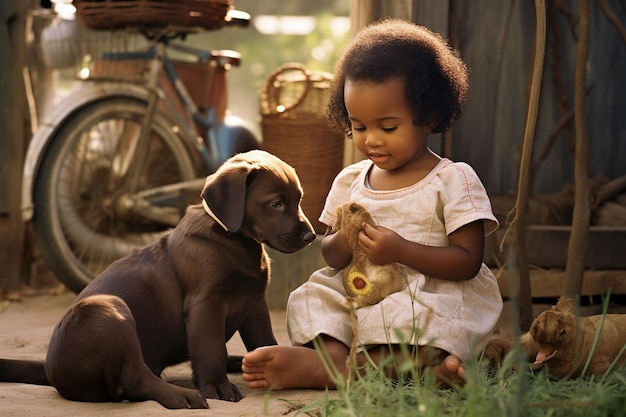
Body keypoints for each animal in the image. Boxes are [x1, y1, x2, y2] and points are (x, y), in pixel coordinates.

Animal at [0, 150, 312, 406]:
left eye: (298, 199)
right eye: (275, 203)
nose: (310, 237)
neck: (232, 239)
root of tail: (51, 370)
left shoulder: (255, 303)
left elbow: (264, 340)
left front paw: (275, 367)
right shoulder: (205, 304)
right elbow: (211, 349)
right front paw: (216, 386)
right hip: (105, 309)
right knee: (135, 380)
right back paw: (183, 396)